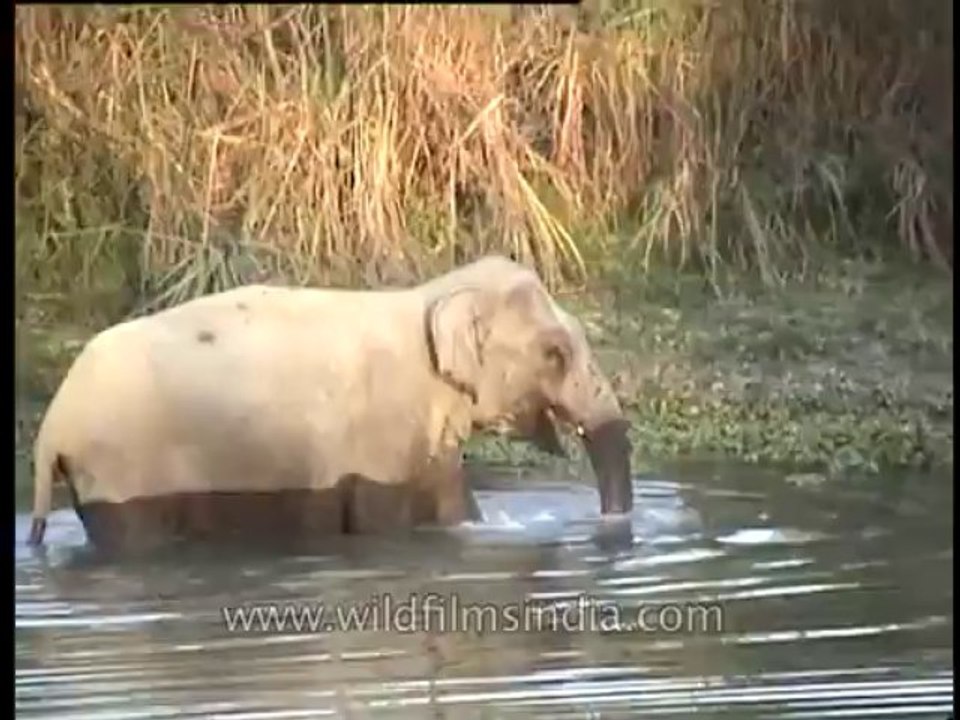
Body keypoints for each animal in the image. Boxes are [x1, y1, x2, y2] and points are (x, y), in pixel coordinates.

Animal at [26, 255, 634, 554]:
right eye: (554, 354)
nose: (612, 524)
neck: (430, 297)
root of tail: (51, 430)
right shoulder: (383, 427)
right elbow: (383, 521)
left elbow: (451, 504)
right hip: (121, 468)